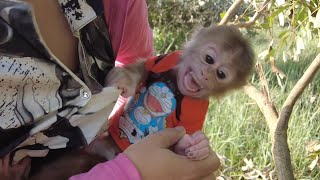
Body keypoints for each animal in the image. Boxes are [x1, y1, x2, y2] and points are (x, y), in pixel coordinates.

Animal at [107, 24, 255, 160]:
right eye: (209, 59)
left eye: (221, 74)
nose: (206, 75)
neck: (175, 86)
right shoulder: (169, 58)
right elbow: (147, 66)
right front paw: (127, 78)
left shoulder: (197, 109)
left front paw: (196, 147)